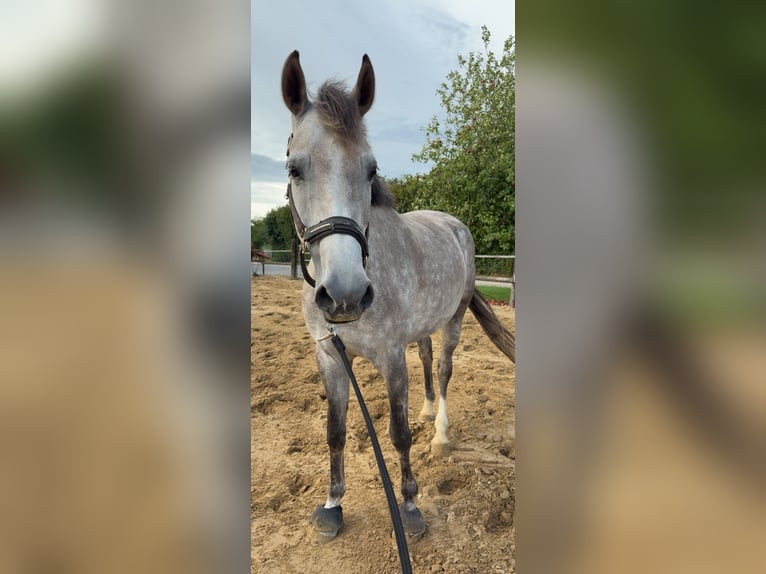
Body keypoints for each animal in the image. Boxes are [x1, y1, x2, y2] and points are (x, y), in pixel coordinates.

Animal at [281, 50, 515, 542]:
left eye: (371, 170)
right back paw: (427, 413)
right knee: (425, 357)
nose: (345, 295)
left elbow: (397, 434)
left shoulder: (390, 357)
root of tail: (454, 223)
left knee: (442, 369)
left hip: (454, 319)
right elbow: (334, 431)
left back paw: (440, 434)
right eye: (294, 169)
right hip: (422, 328)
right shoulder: (329, 356)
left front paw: (409, 508)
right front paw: (331, 506)